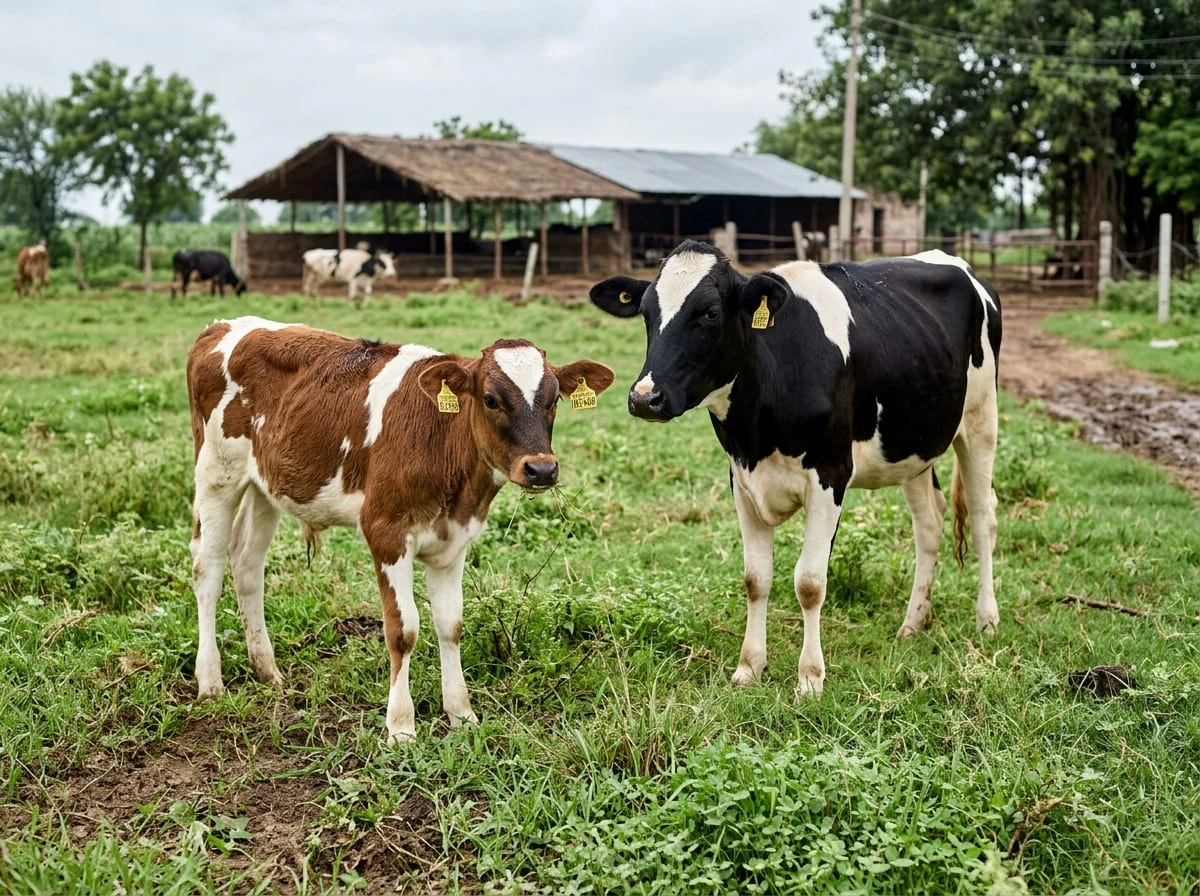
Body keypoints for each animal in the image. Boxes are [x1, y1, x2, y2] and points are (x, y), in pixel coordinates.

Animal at [186, 316, 614, 742]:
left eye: (554, 399)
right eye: (491, 398)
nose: (541, 469)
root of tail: (223, 325)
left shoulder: (455, 541)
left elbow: (451, 624)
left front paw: (461, 714)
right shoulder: (386, 533)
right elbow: (402, 630)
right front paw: (401, 727)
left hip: (266, 484)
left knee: (247, 563)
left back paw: (267, 670)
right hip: (216, 474)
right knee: (208, 568)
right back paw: (210, 680)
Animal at [590, 240, 1001, 697]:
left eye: (710, 312)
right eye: (647, 312)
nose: (644, 398)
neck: (757, 429)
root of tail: (953, 261)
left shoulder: (830, 475)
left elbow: (809, 582)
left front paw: (810, 678)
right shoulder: (742, 480)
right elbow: (756, 579)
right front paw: (749, 667)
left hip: (981, 420)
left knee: (982, 517)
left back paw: (986, 619)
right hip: (911, 443)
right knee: (929, 523)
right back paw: (913, 622)